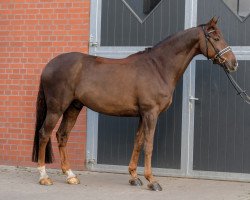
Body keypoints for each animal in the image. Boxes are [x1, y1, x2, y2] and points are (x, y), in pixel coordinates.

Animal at [32, 17, 237, 191]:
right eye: (216, 38)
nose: (233, 64)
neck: (158, 67)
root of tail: (49, 65)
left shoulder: (141, 115)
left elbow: (138, 142)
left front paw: (134, 177)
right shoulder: (151, 113)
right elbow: (148, 145)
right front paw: (152, 181)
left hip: (73, 107)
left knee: (62, 135)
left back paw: (70, 175)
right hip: (56, 108)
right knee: (44, 134)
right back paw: (44, 176)